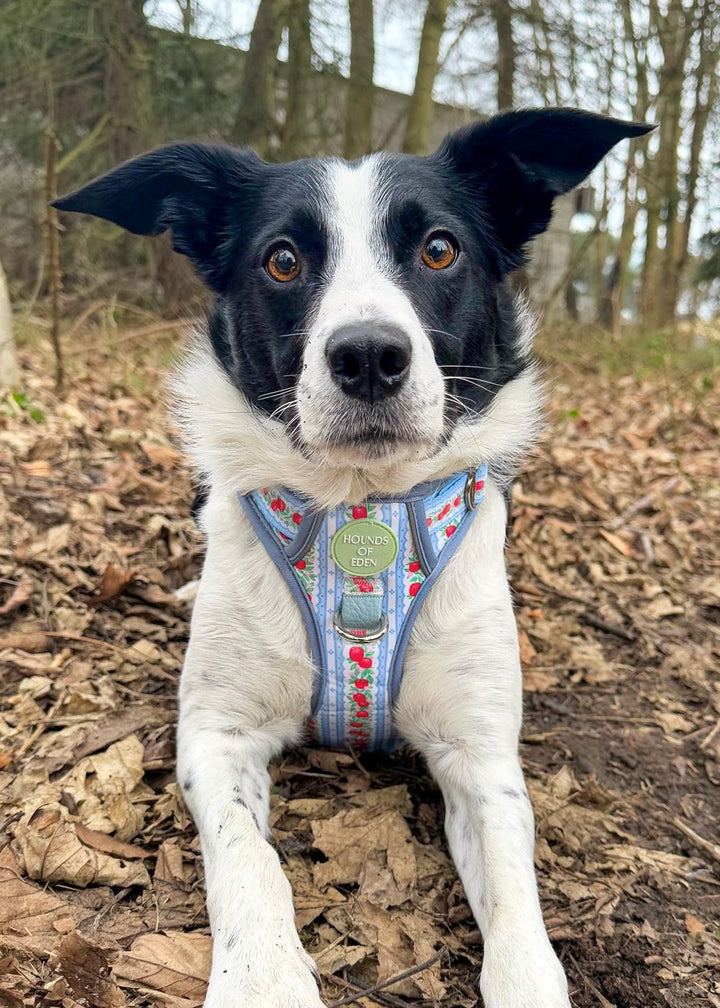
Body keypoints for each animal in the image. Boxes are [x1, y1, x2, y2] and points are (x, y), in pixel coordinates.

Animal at [54, 106, 649, 1003]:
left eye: (438, 248)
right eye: (283, 259)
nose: (368, 355)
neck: (360, 510)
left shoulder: (482, 759)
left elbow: (518, 910)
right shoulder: (217, 735)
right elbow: (250, 860)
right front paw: (264, 977)